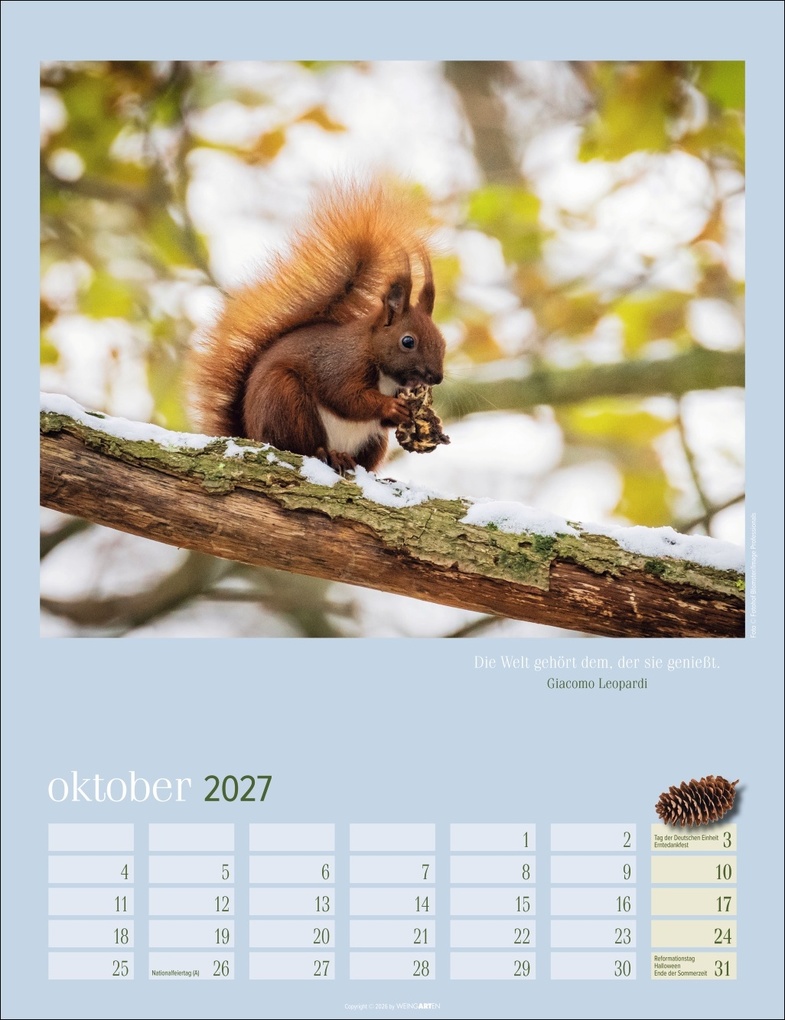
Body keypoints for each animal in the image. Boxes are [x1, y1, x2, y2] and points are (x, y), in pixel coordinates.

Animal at [190, 180, 446, 473]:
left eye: (443, 343)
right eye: (408, 341)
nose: (437, 377)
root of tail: (251, 434)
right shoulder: (340, 365)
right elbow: (347, 398)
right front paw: (390, 407)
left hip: (372, 442)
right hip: (285, 399)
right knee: (301, 445)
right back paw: (328, 454)